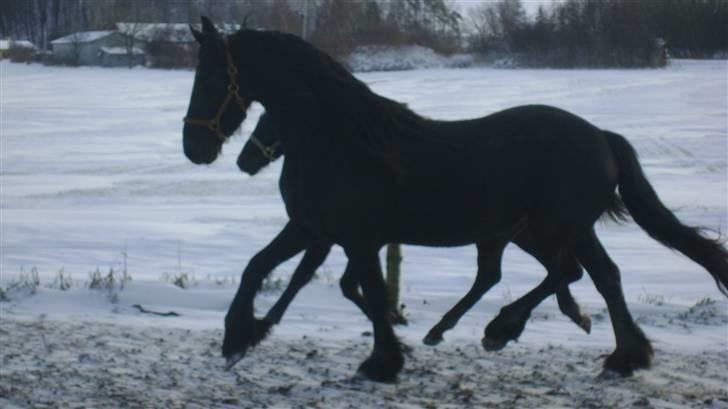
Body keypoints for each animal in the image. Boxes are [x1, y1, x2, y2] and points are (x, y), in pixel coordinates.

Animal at [239, 110, 596, 346]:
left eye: (270, 121)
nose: (245, 161)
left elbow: (318, 278)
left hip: (521, 234)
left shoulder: (327, 235)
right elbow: (324, 279)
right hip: (513, 236)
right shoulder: (337, 237)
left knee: (550, 272)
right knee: (537, 273)